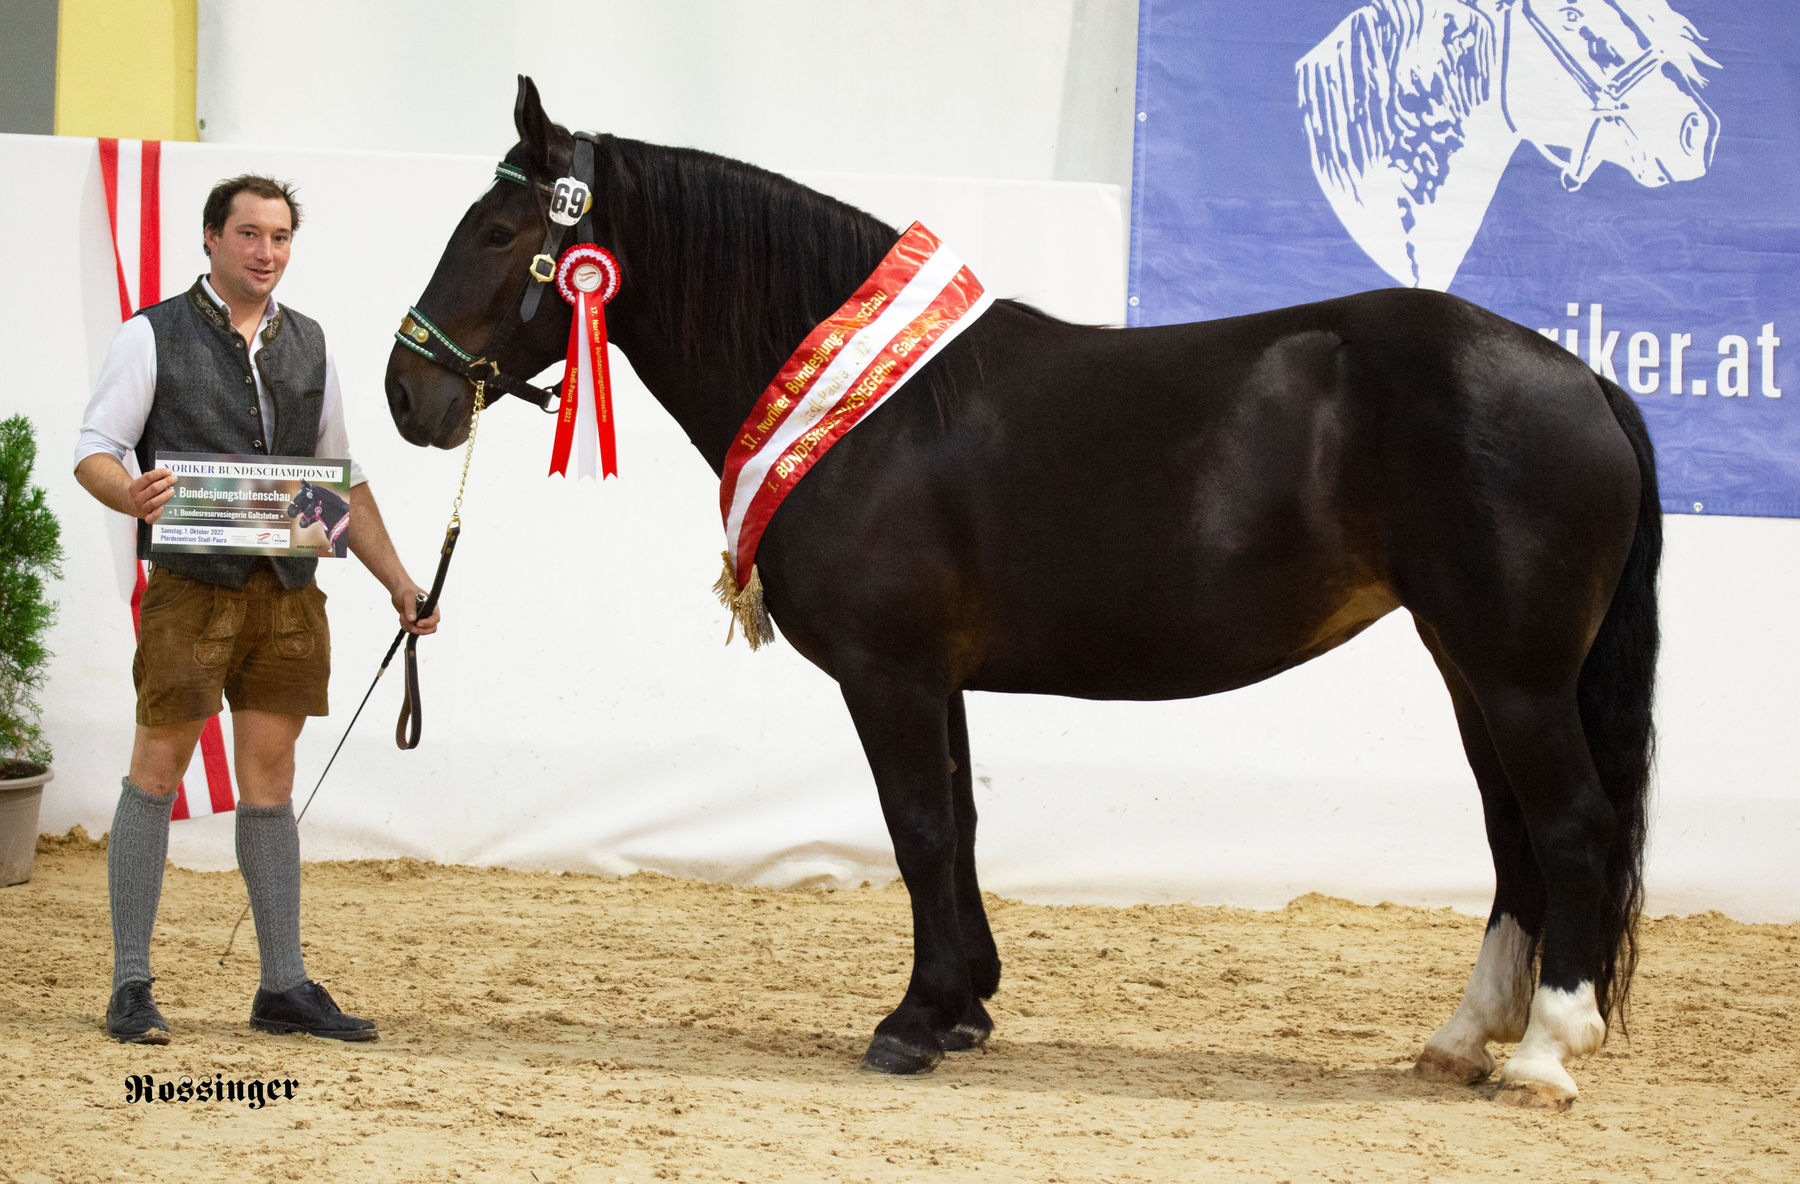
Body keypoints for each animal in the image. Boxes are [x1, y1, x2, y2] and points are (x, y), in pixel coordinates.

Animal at [390, 78, 1656, 1101]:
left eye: (500, 230)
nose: (410, 392)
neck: (878, 410)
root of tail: (1582, 377)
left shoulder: (889, 672)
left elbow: (917, 826)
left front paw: (914, 1019)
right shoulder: (936, 675)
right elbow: (957, 824)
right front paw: (966, 1008)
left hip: (1516, 672)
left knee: (1571, 825)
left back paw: (1546, 1051)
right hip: (1469, 662)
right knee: (1512, 836)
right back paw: (1464, 1037)